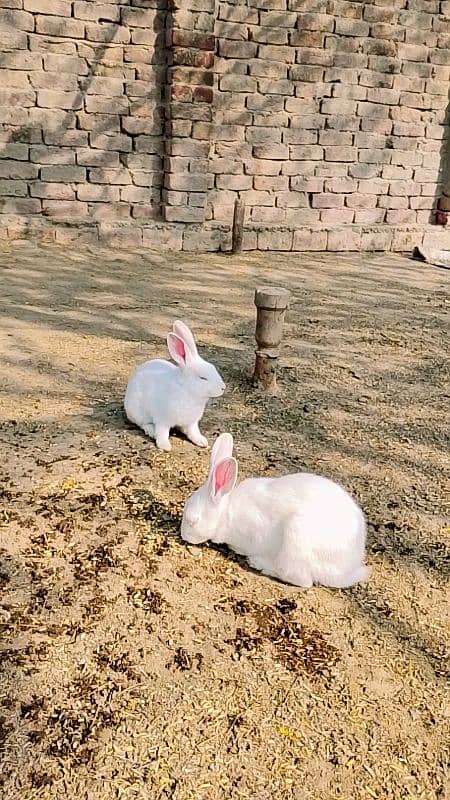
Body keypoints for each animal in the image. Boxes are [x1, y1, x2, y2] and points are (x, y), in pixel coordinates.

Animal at [124, 322, 225, 454]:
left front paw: (202, 442)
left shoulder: (192, 423)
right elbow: (162, 433)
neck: (187, 391)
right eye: (202, 378)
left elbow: (194, 432)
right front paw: (165, 446)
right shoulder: (162, 421)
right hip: (138, 413)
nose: (223, 388)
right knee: (144, 424)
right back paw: (152, 432)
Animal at [179, 434, 370, 592]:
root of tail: (348, 569)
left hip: (296, 540)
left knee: (300, 579)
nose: (183, 535)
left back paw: (258, 563)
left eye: (192, 520)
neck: (226, 512)